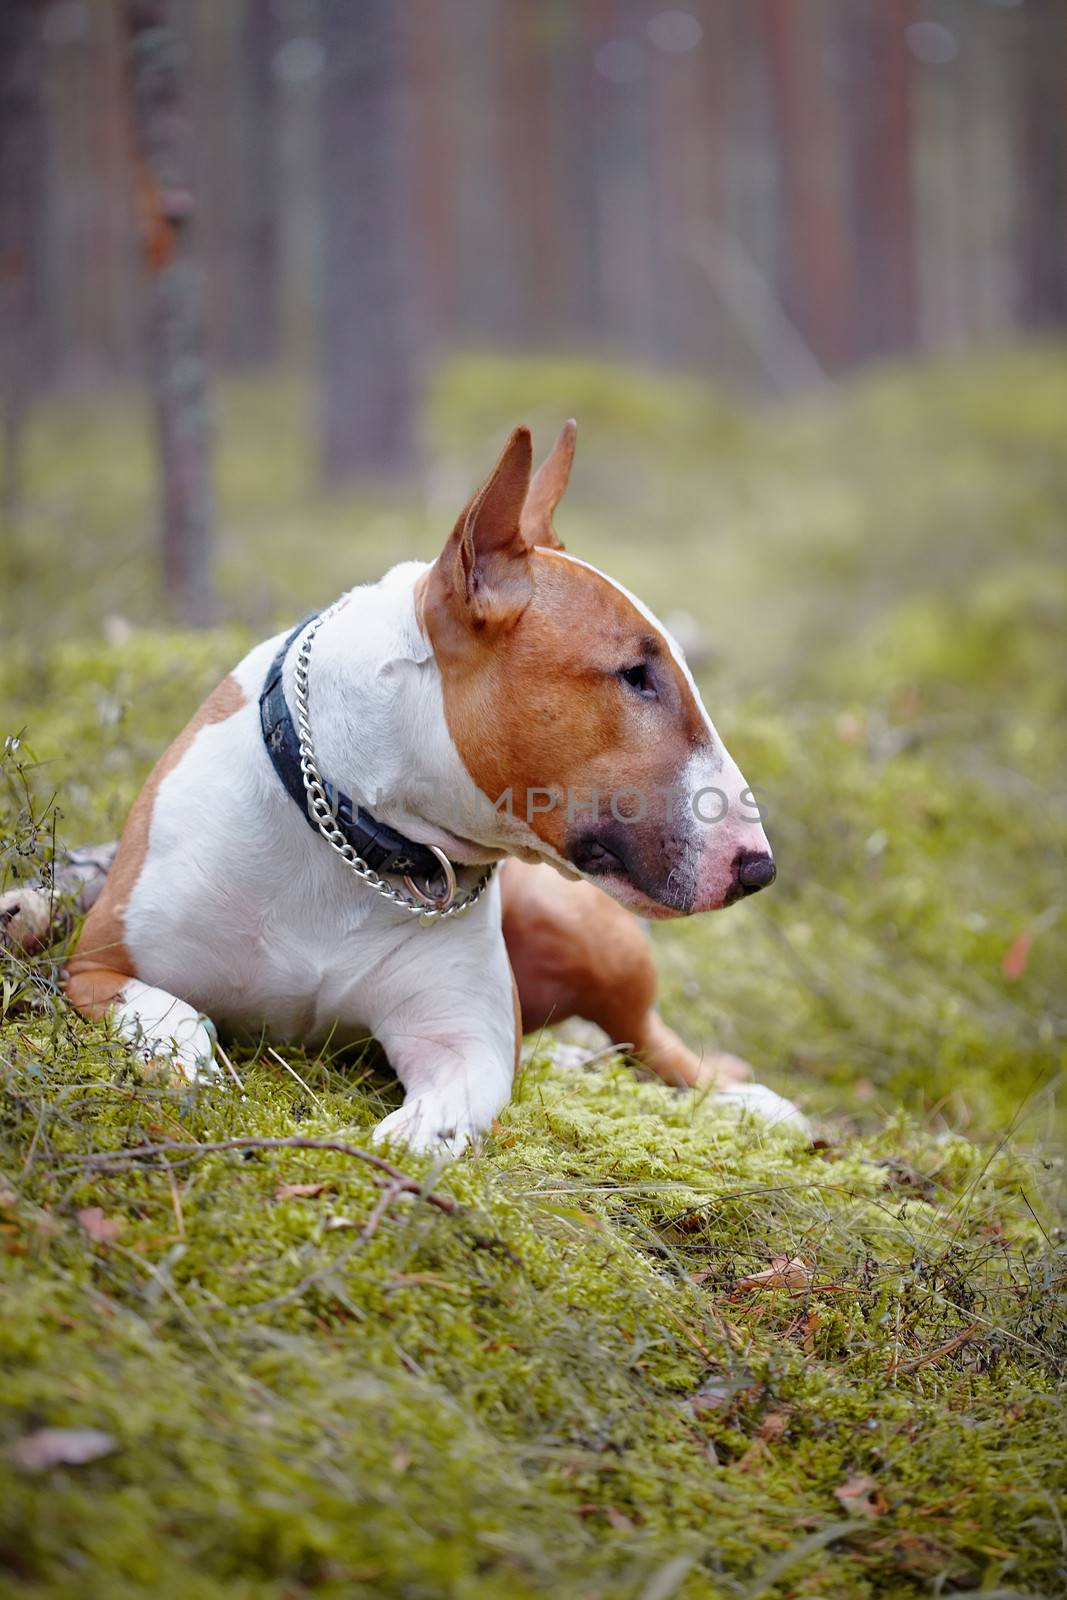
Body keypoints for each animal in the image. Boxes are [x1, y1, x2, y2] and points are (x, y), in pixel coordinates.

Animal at [64, 425, 799, 1152]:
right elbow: (171, 1013)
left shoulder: (464, 1040)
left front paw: (407, 1141)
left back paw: (745, 1102)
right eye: (636, 676)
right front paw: (194, 1078)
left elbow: (440, 1113)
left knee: (648, 1041)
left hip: (589, 936)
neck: (352, 838)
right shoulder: (97, 967)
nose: (757, 868)